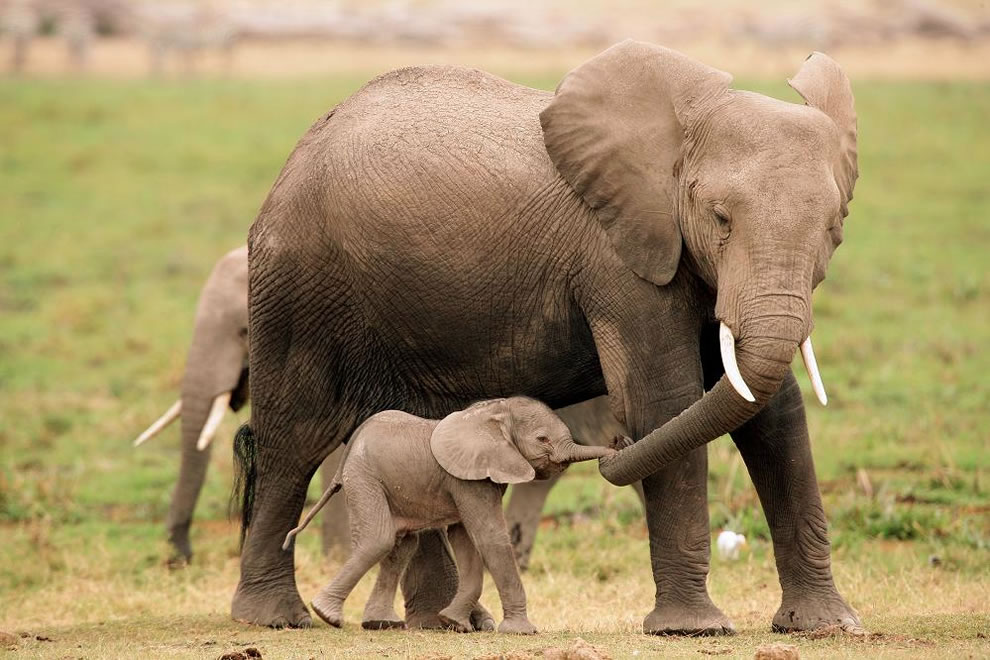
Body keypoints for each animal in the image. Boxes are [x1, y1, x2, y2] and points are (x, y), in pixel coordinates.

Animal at [281, 397, 615, 634]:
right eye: (543, 439)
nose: (617, 444)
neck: (494, 411)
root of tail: (352, 444)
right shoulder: (467, 478)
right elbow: (489, 537)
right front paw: (521, 631)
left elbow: (465, 540)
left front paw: (454, 623)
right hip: (364, 476)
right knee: (379, 539)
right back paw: (326, 614)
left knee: (402, 546)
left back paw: (381, 623)